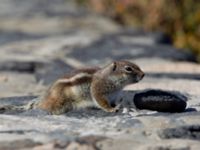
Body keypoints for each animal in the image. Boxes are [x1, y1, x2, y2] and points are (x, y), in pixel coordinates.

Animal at [0, 60, 145, 114]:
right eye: (128, 68)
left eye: (137, 65)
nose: (144, 74)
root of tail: (47, 95)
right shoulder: (98, 90)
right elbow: (101, 102)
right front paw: (111, 109)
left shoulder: (114, 95)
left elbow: (115, 101)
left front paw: (122, 106)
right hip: (58, 102)